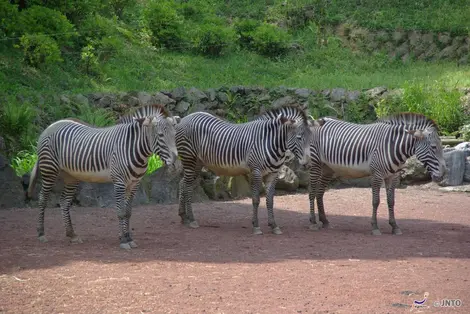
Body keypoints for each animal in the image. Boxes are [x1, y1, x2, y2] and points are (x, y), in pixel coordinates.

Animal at [25, 114, 178, 249]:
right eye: (160, 135)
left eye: (175, 135)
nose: (176, 161)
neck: (134, 148)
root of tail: (51, 125)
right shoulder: (119, 182)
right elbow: (121, 212)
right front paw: (124, 240)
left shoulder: (134, 184)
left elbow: (128, 212)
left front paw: (129, 238)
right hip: (49, 170)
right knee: (42, 199)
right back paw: (41, 233)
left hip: (71, 177)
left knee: (64, 202)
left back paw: (72, 234)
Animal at [174, 105, 324, 236]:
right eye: (299, 138)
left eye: (311, 139)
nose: (308, 164)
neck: (270, 142)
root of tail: (186, 117)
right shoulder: (256, 171)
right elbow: (256, 199)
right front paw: (256, 226)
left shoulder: (273, 174)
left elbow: (270, 200)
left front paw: (274, 226)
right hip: (189, 158)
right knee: (187, 186)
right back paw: (192, 220)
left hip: (197, 162)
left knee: (183, 183)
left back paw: (184, 217)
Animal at [306, 113, 446, 236]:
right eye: (433, 147)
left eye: (441, 146)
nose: (443, 175)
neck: (393, 145)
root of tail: (317, 120)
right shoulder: (377, 175)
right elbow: (376, 201)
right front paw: (375, 227)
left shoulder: (393, 176)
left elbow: (391, 201)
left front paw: (394, 226)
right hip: (315, 164)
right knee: (312, 192)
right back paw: (313, 222)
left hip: (327, 169)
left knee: (320, 193)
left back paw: (324, 221)